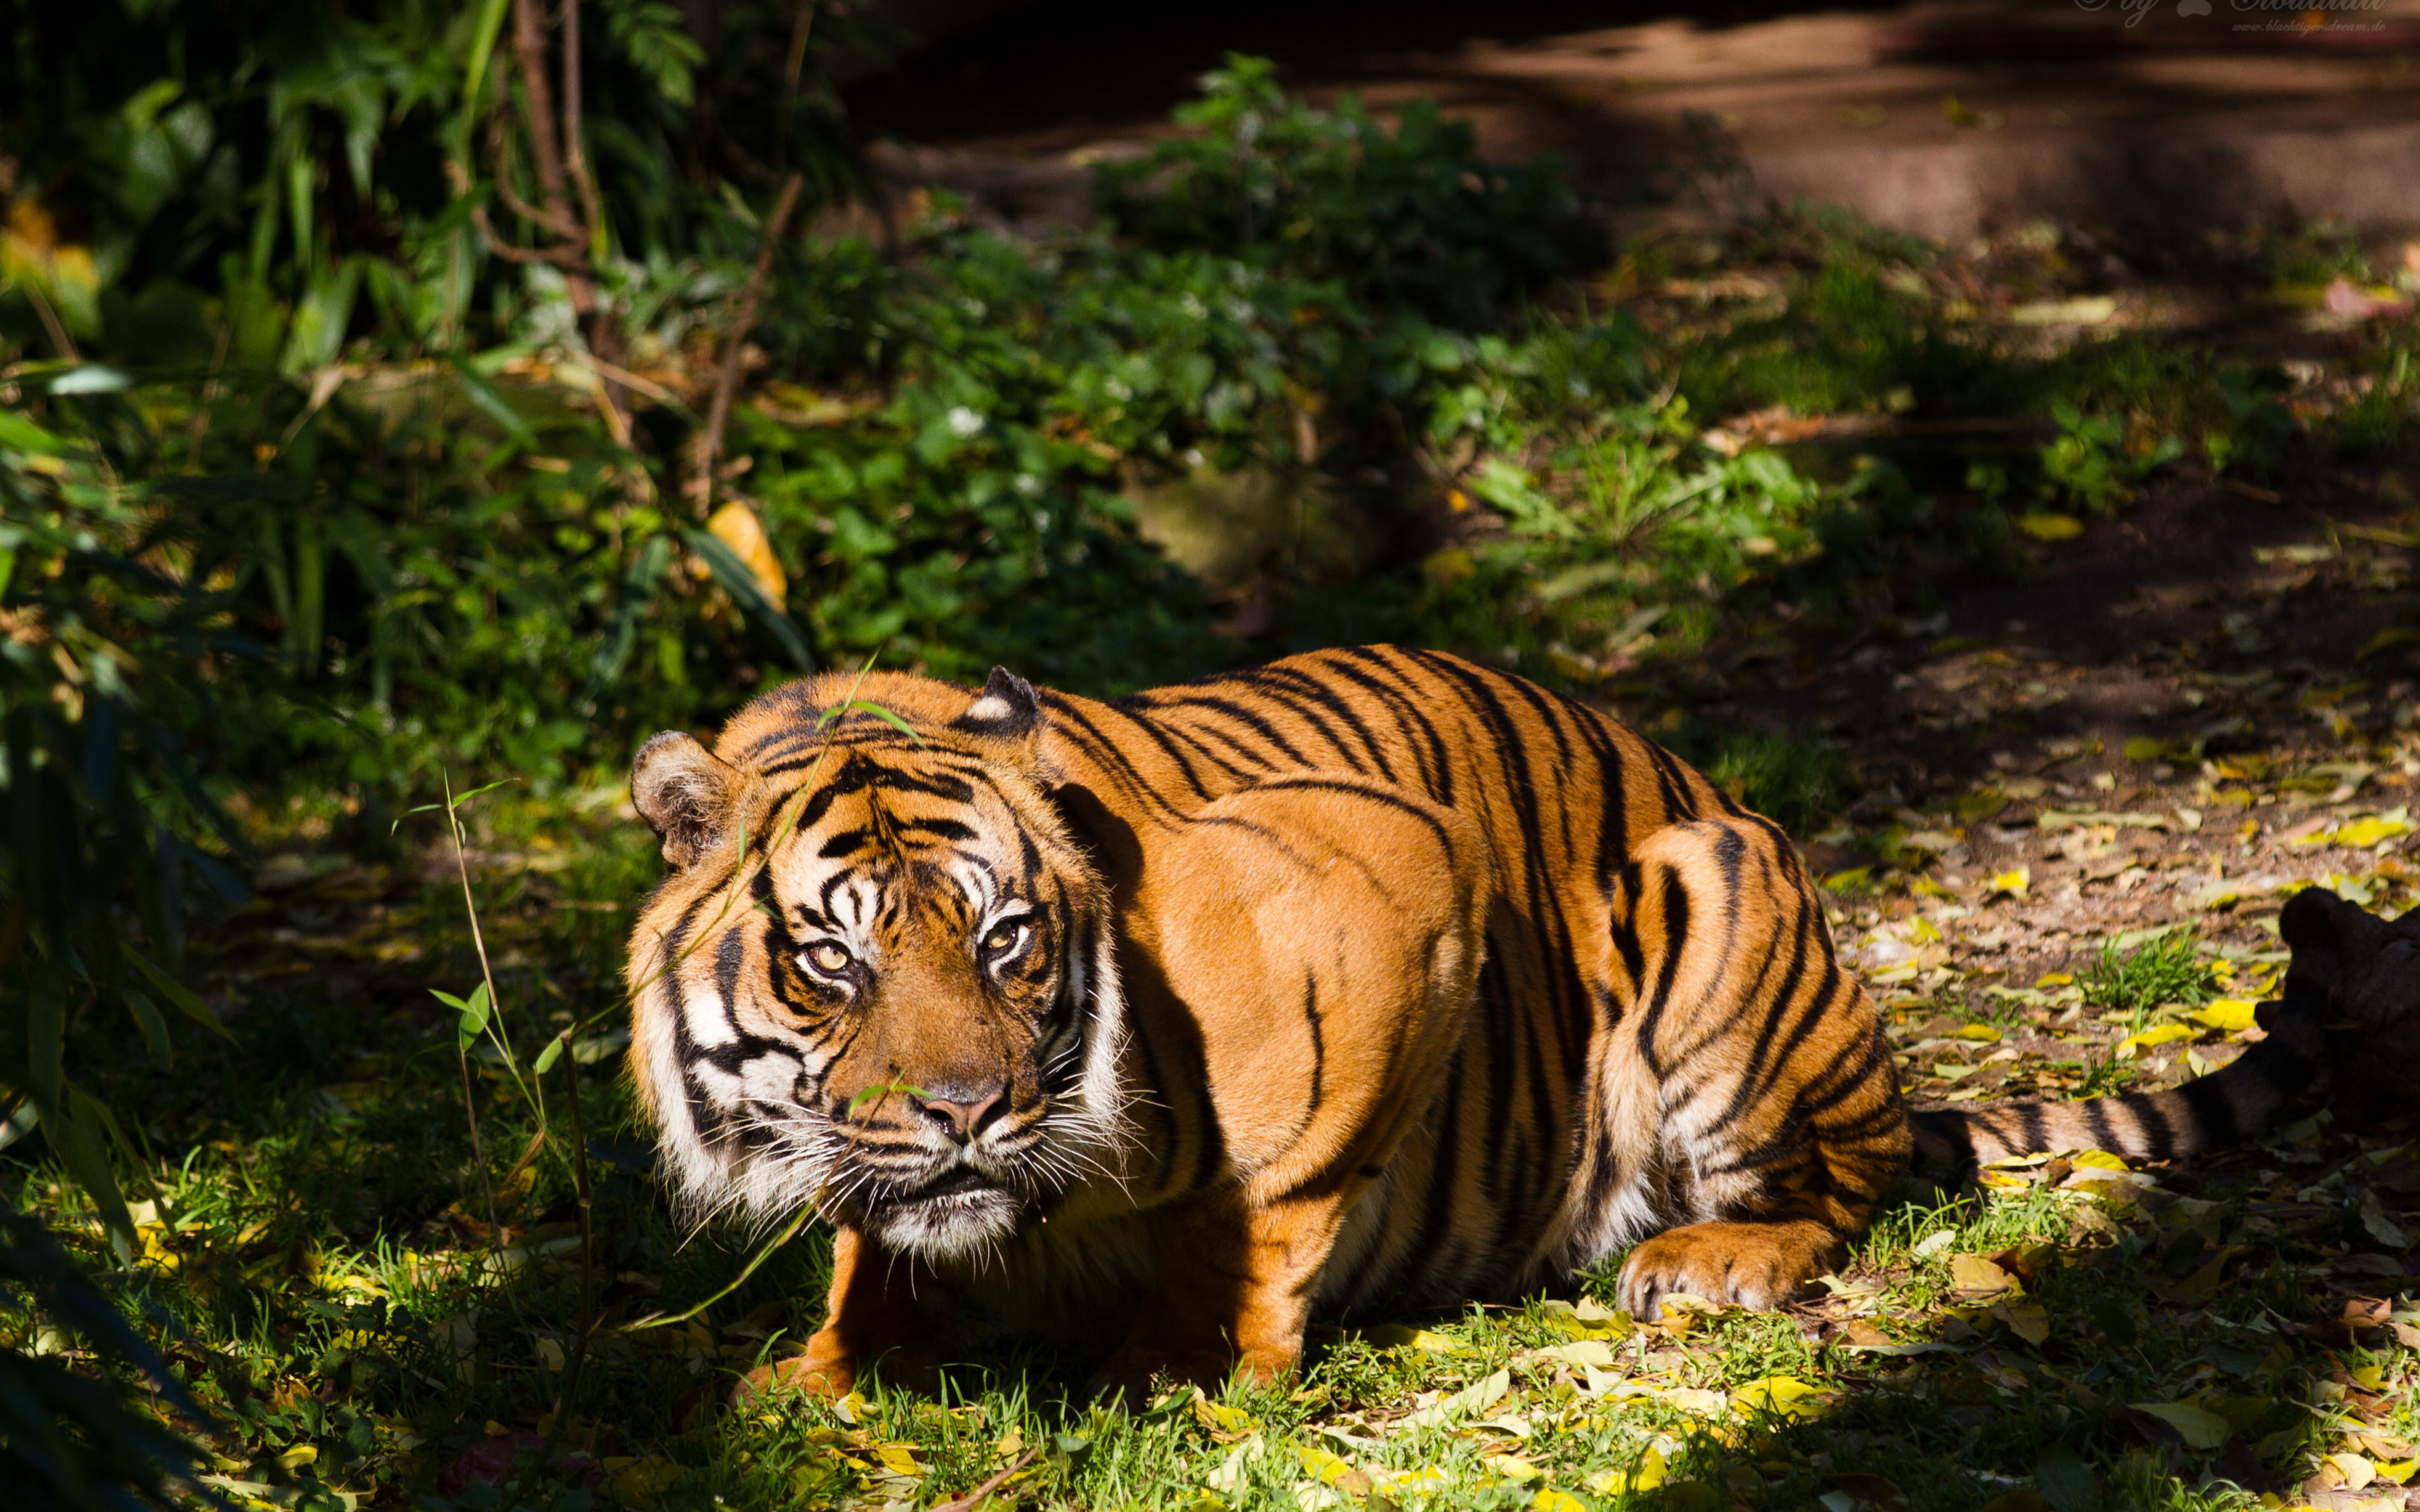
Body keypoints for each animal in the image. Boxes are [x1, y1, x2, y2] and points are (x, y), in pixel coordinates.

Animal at [619, 643, 2323, 1393]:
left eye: (1008, 940)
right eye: (834, 963)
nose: (969, 1111)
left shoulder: (1389, 891)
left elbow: (1263, 1202)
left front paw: (1186, 1370)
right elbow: (872, 1238)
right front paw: (823, 1369)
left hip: (1715, 888)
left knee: (1851, 1185)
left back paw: (1710, 1260)